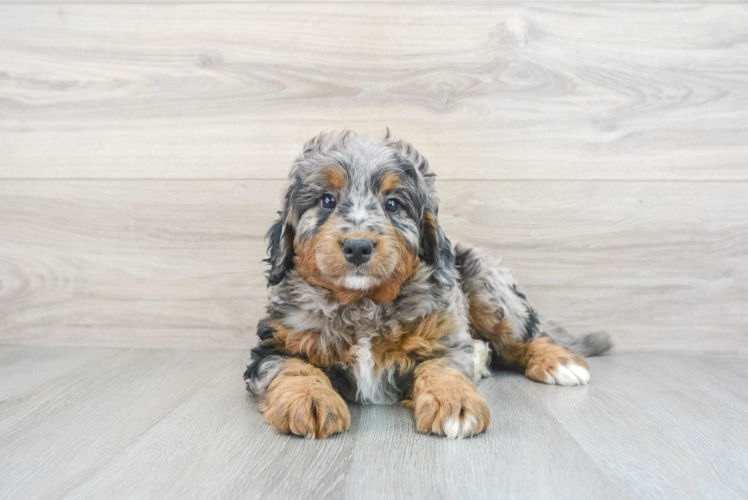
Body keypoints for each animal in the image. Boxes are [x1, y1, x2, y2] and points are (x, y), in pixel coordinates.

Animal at [243, 132, 612, 438]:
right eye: (326, 201)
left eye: (393, 204)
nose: (358, 247)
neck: (362, 302)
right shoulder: (275, 344)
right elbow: (292, 367)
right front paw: (310, 401)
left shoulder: (441, 339)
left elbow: (443, 368)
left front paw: (456, 404)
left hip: (487, 286)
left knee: (525, 335)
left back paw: (558, 363)